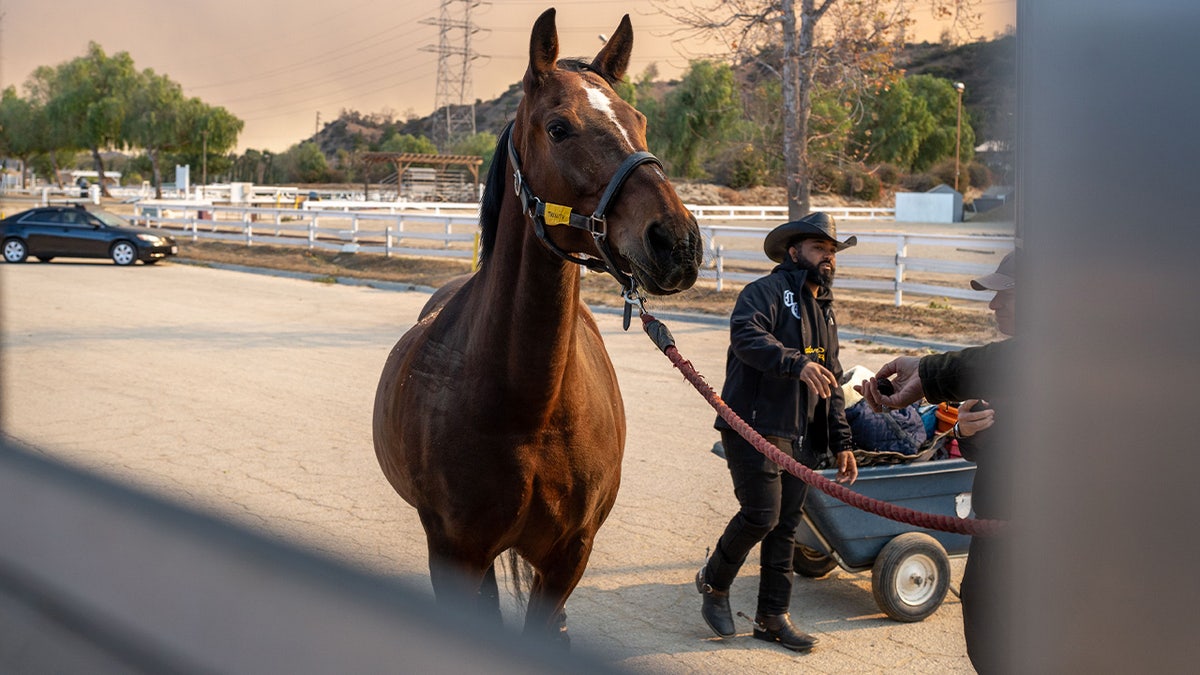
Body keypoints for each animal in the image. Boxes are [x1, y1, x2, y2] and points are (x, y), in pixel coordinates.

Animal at [369, 7, 700, 638]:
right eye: (559, 128)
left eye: (640, 120)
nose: (678, 242)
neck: (530, 409)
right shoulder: (456, 553)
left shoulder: (570, 555)